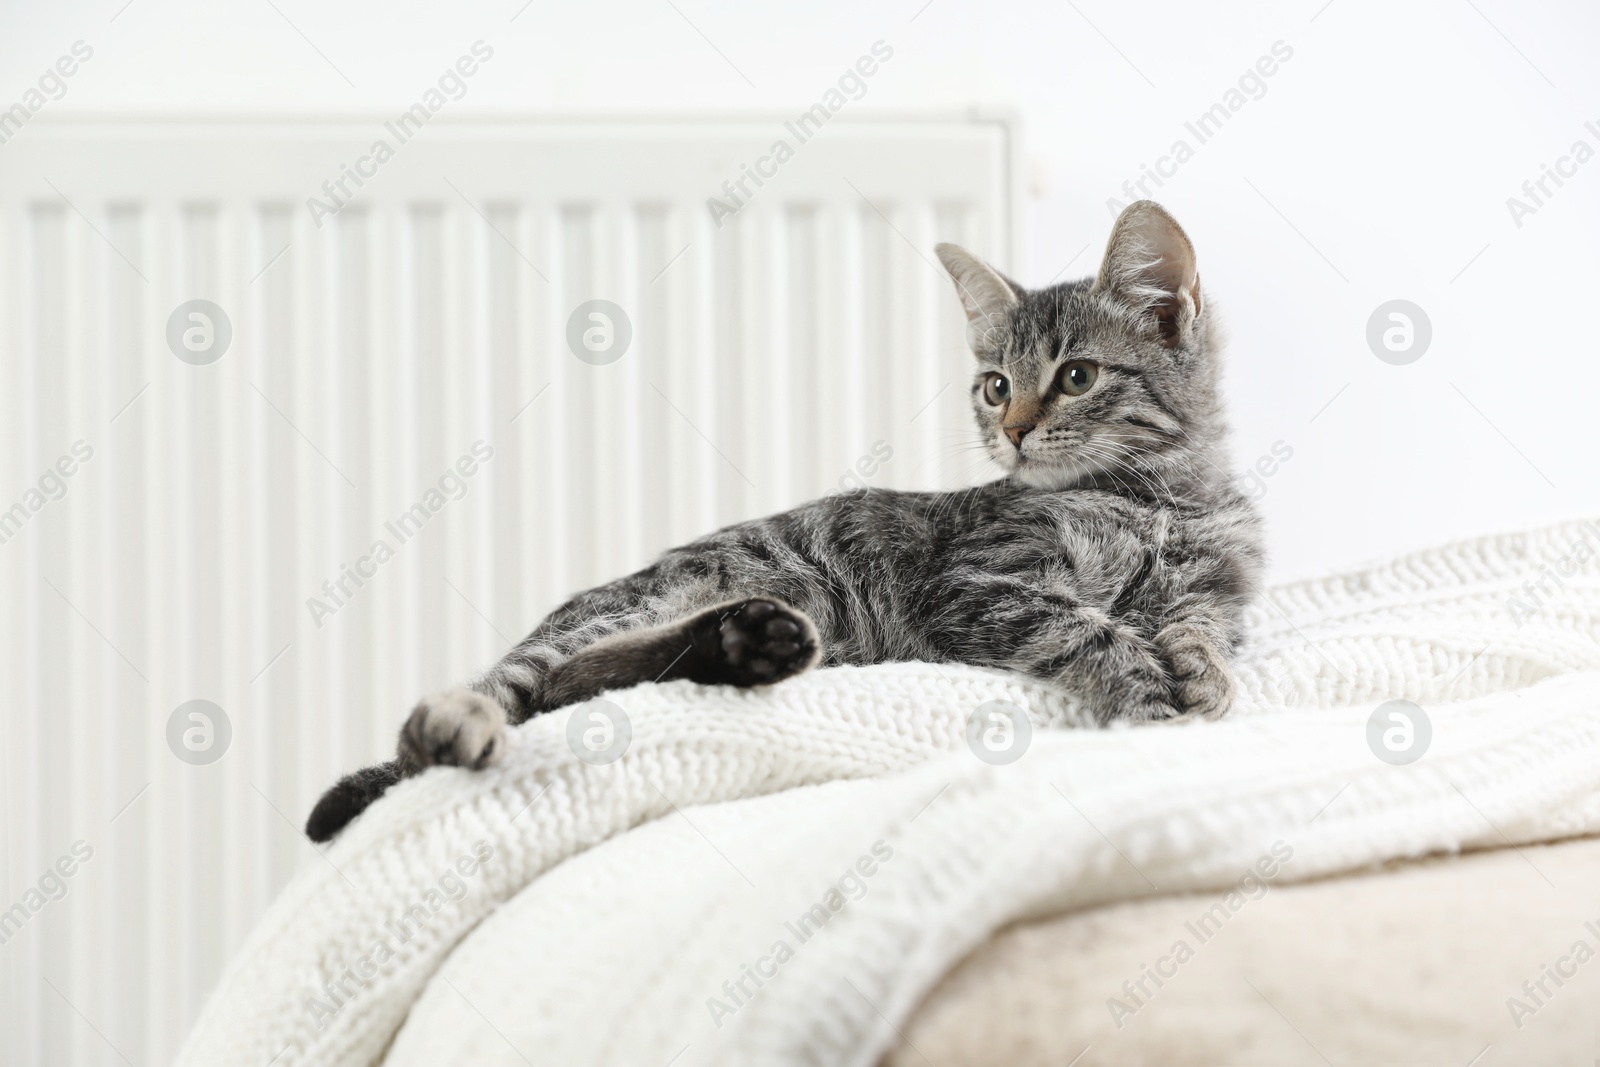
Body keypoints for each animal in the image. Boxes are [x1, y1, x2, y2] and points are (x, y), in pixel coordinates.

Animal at [308, 199, 1260, 844]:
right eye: (995, 386)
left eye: (1076, 376)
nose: (1015, 430)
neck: (1161, 498)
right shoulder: (979, 584)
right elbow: (1092, 627)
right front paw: (1152, 697)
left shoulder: (1222, 589)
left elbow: (1201, 626)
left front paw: (1202, 673)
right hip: (638, 602)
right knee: (523, 688)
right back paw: (459, 721)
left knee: (577, 683)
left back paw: (747, 643)